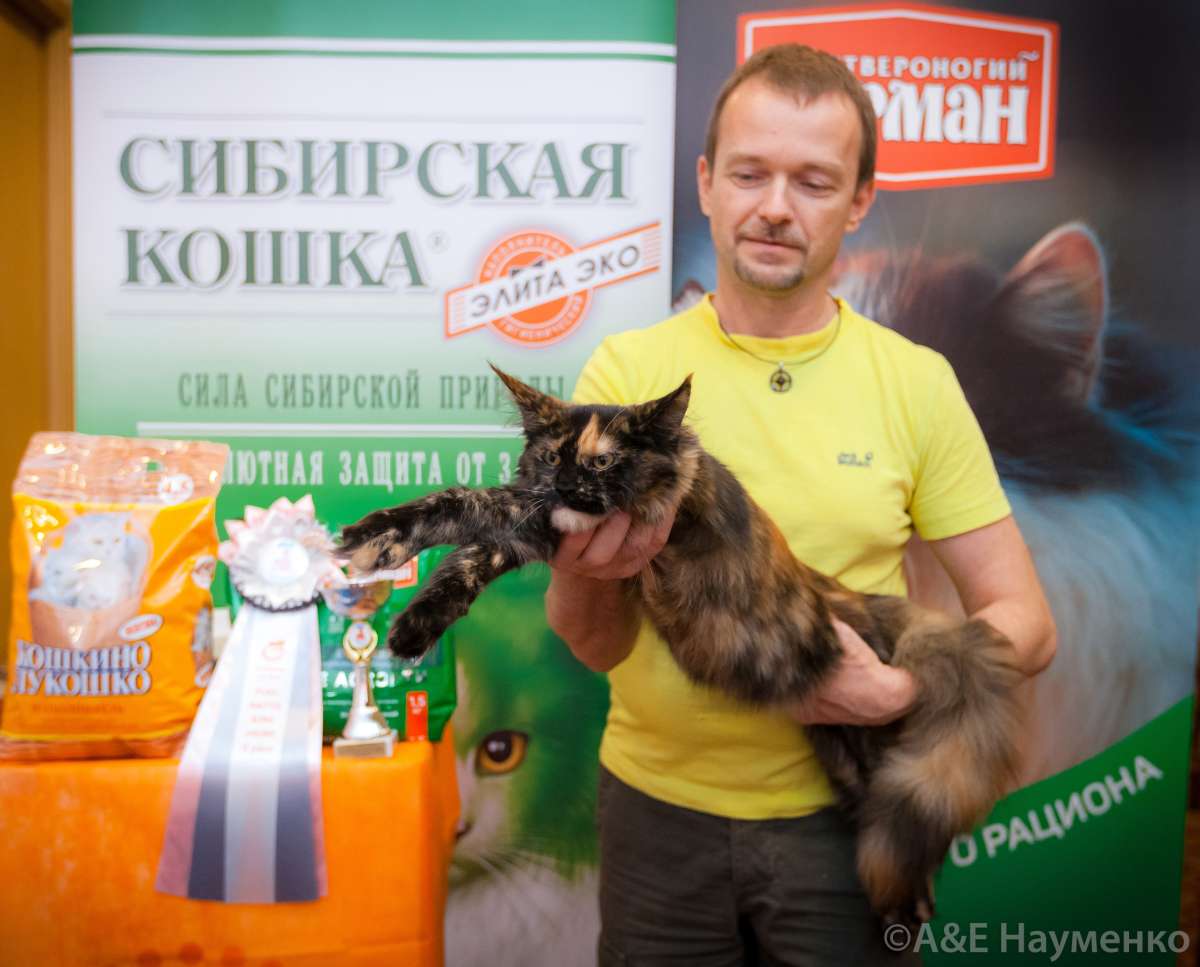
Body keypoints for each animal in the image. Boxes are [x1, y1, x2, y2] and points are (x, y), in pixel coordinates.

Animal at [341, 366, 1024, 926]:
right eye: (553, 457)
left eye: (603, 464)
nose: (566, 488)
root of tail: (856, 605)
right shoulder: (537, 528)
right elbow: (461, 533)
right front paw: (394, 578)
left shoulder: (579, 522)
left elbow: (472, 507)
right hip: (847, 763)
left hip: (889, 761)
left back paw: (912, 908)